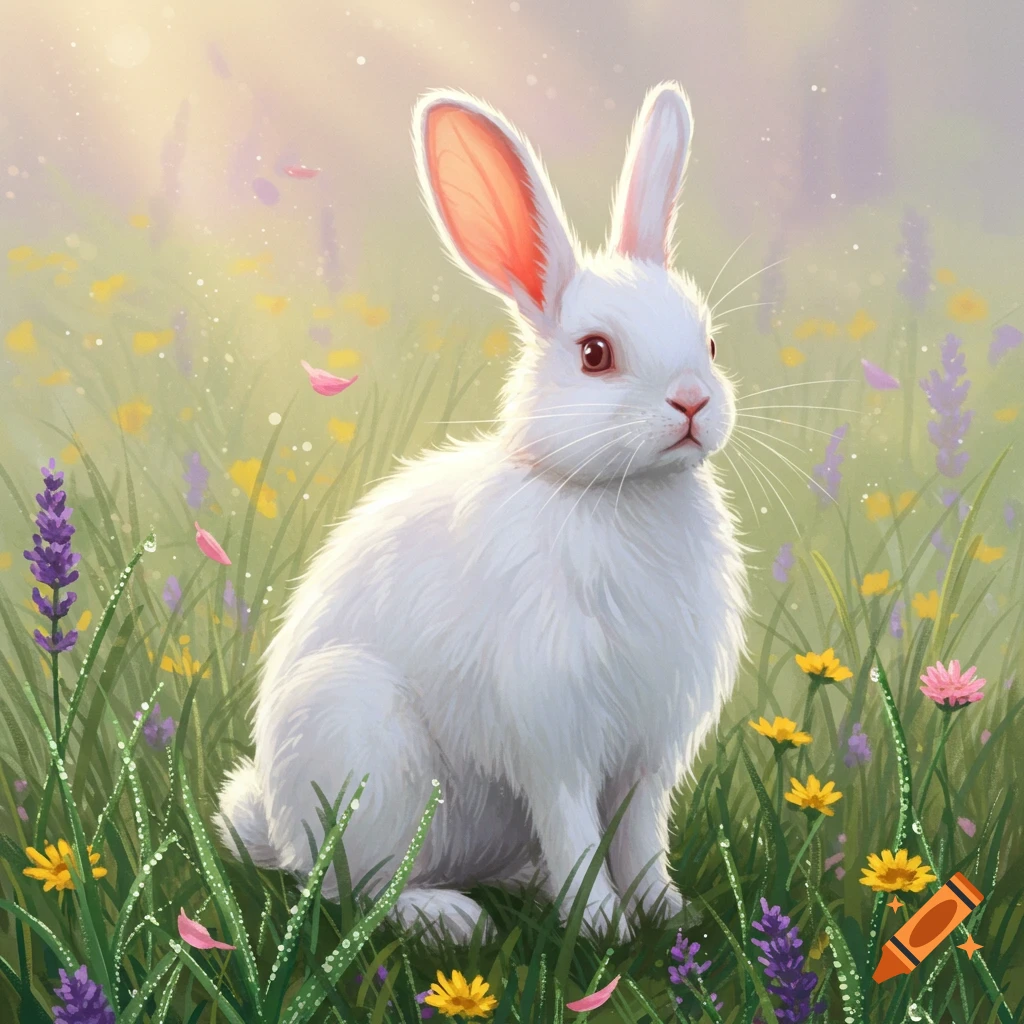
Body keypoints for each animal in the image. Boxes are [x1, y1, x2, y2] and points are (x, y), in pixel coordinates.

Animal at [216, 81, 748, 945]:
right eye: (595, 354)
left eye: (709, 344)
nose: (693, 403)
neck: (615, 491)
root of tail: (278, 824)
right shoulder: (553, 735)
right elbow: (576, 829)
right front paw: (603, 926)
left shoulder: (649, 752)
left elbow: (640, 836)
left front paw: (667, 914)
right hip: (366, 754)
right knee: (357, 891)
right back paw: (452, 918)